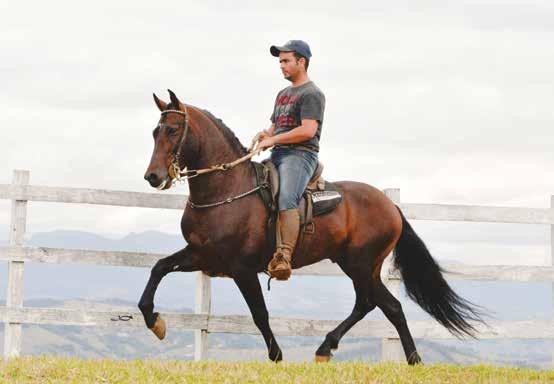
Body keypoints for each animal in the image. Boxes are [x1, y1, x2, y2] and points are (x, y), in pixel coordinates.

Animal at [137, 89, 484, 364]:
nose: (153, 176)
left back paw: (334, 348)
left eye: (173, 129)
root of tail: (391, 207)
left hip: (360, 264)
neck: (227, 189)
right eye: (154, 132)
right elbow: (158, 268)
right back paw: (406, 358)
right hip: (359, 265)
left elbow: (259, 313)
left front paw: (277, 356)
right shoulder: (202, 256)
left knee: (372, 303)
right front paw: (155, 321)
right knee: (389, 306)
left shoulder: (242, 269)